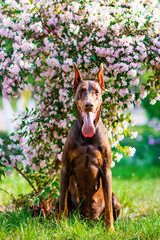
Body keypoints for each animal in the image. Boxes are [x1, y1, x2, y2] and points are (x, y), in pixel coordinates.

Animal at [57, 63, 120, 231]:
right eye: (81, 91)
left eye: (96, 91)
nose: (88, 105)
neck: (87, 139)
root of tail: (87, 220)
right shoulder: (65, 168)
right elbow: (63, 204)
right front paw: (62, 228)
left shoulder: (106, 169)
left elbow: (108, 207)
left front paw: (110, 230)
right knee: (61, 201)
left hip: (115, 198)